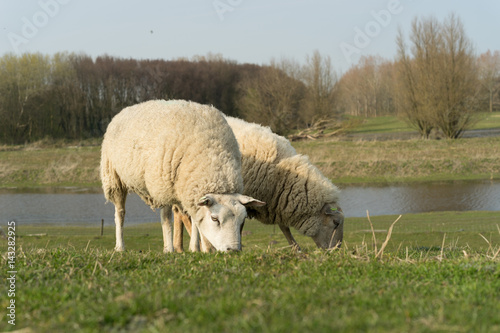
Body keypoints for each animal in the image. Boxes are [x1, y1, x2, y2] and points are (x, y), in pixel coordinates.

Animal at [100, 98, 266, 252]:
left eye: (243, 220)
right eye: (214, 218)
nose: (233, 250)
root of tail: (124, 110)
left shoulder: (190, 189)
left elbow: (195, 219)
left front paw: (195, 248)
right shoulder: (162, 187)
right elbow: (167, 219)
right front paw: (169, 249)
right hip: (114, 178)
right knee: (120, 213)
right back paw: (120, 246)